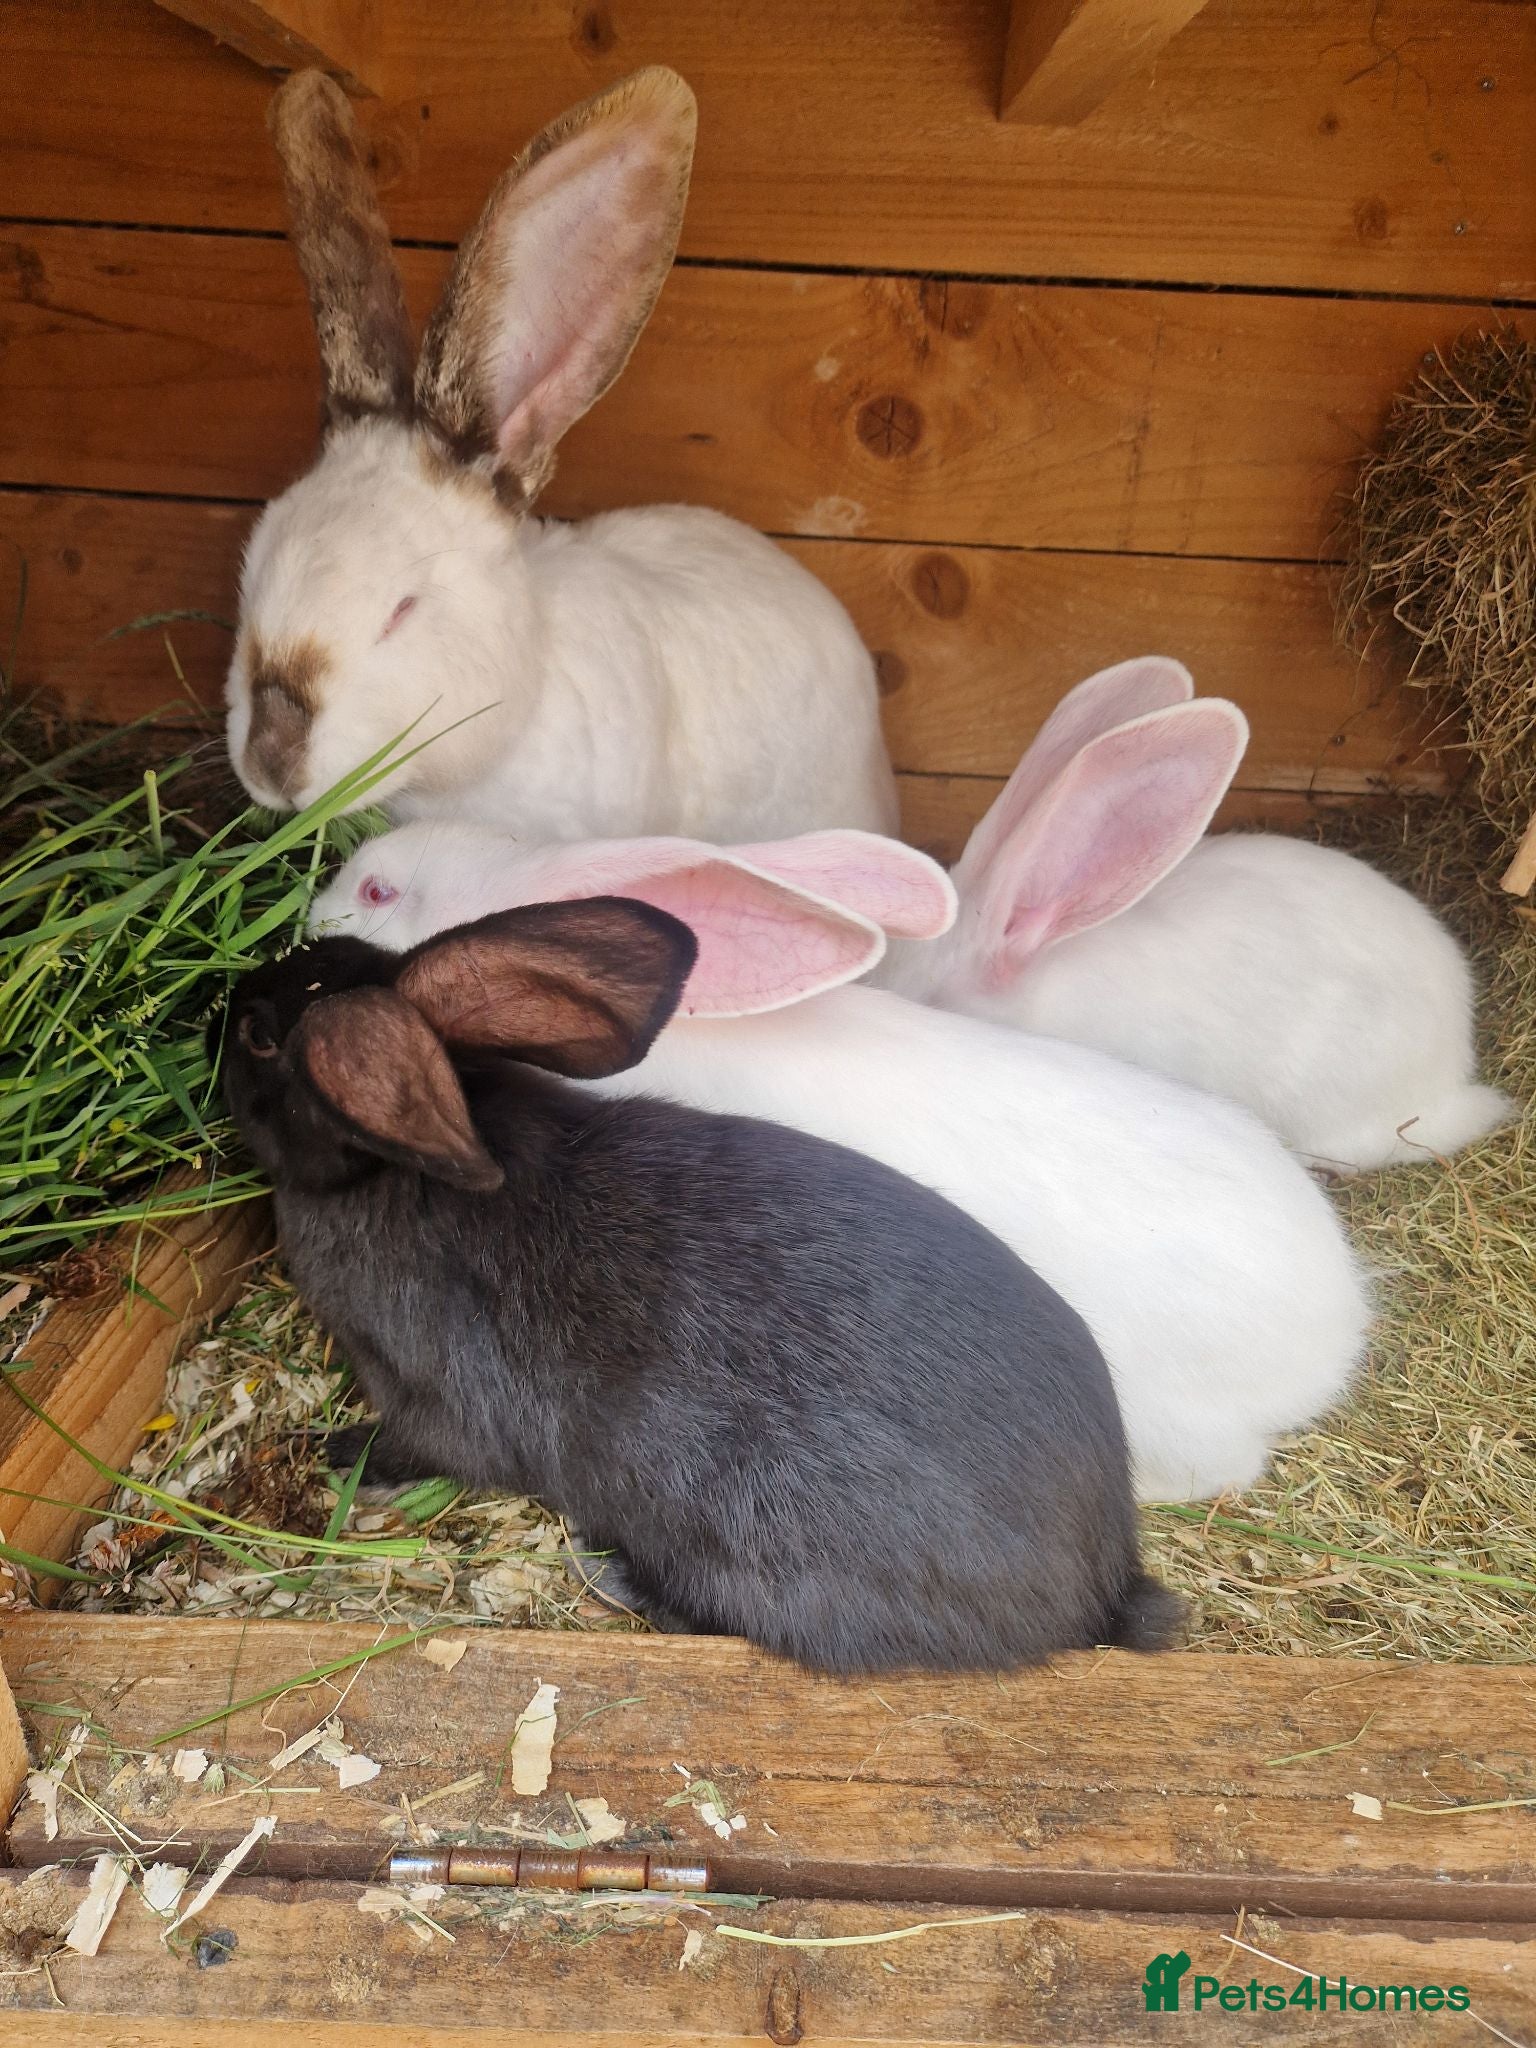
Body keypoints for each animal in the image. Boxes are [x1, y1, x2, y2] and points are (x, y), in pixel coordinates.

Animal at [214, 899, 1182, 1675]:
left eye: (259, 1037)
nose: (218, 1006)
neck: (390, 1169)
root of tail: (1101, 1589)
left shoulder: (431, 1399)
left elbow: (423, 1447)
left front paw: (338, 1452)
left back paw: (609, 1573)